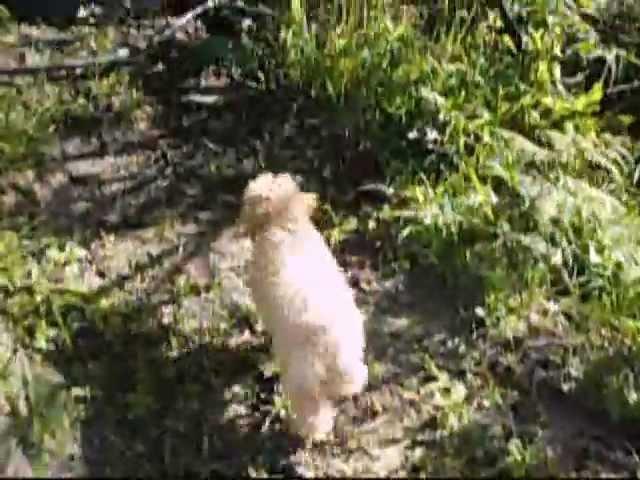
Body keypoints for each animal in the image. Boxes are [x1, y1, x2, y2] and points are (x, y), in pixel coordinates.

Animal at [238, 172, 368, 438]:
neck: (285, 224)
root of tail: (330, 344)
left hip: (300, 380)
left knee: (311, 411)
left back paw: (310, 431)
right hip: (351, 355)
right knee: (351, 379)